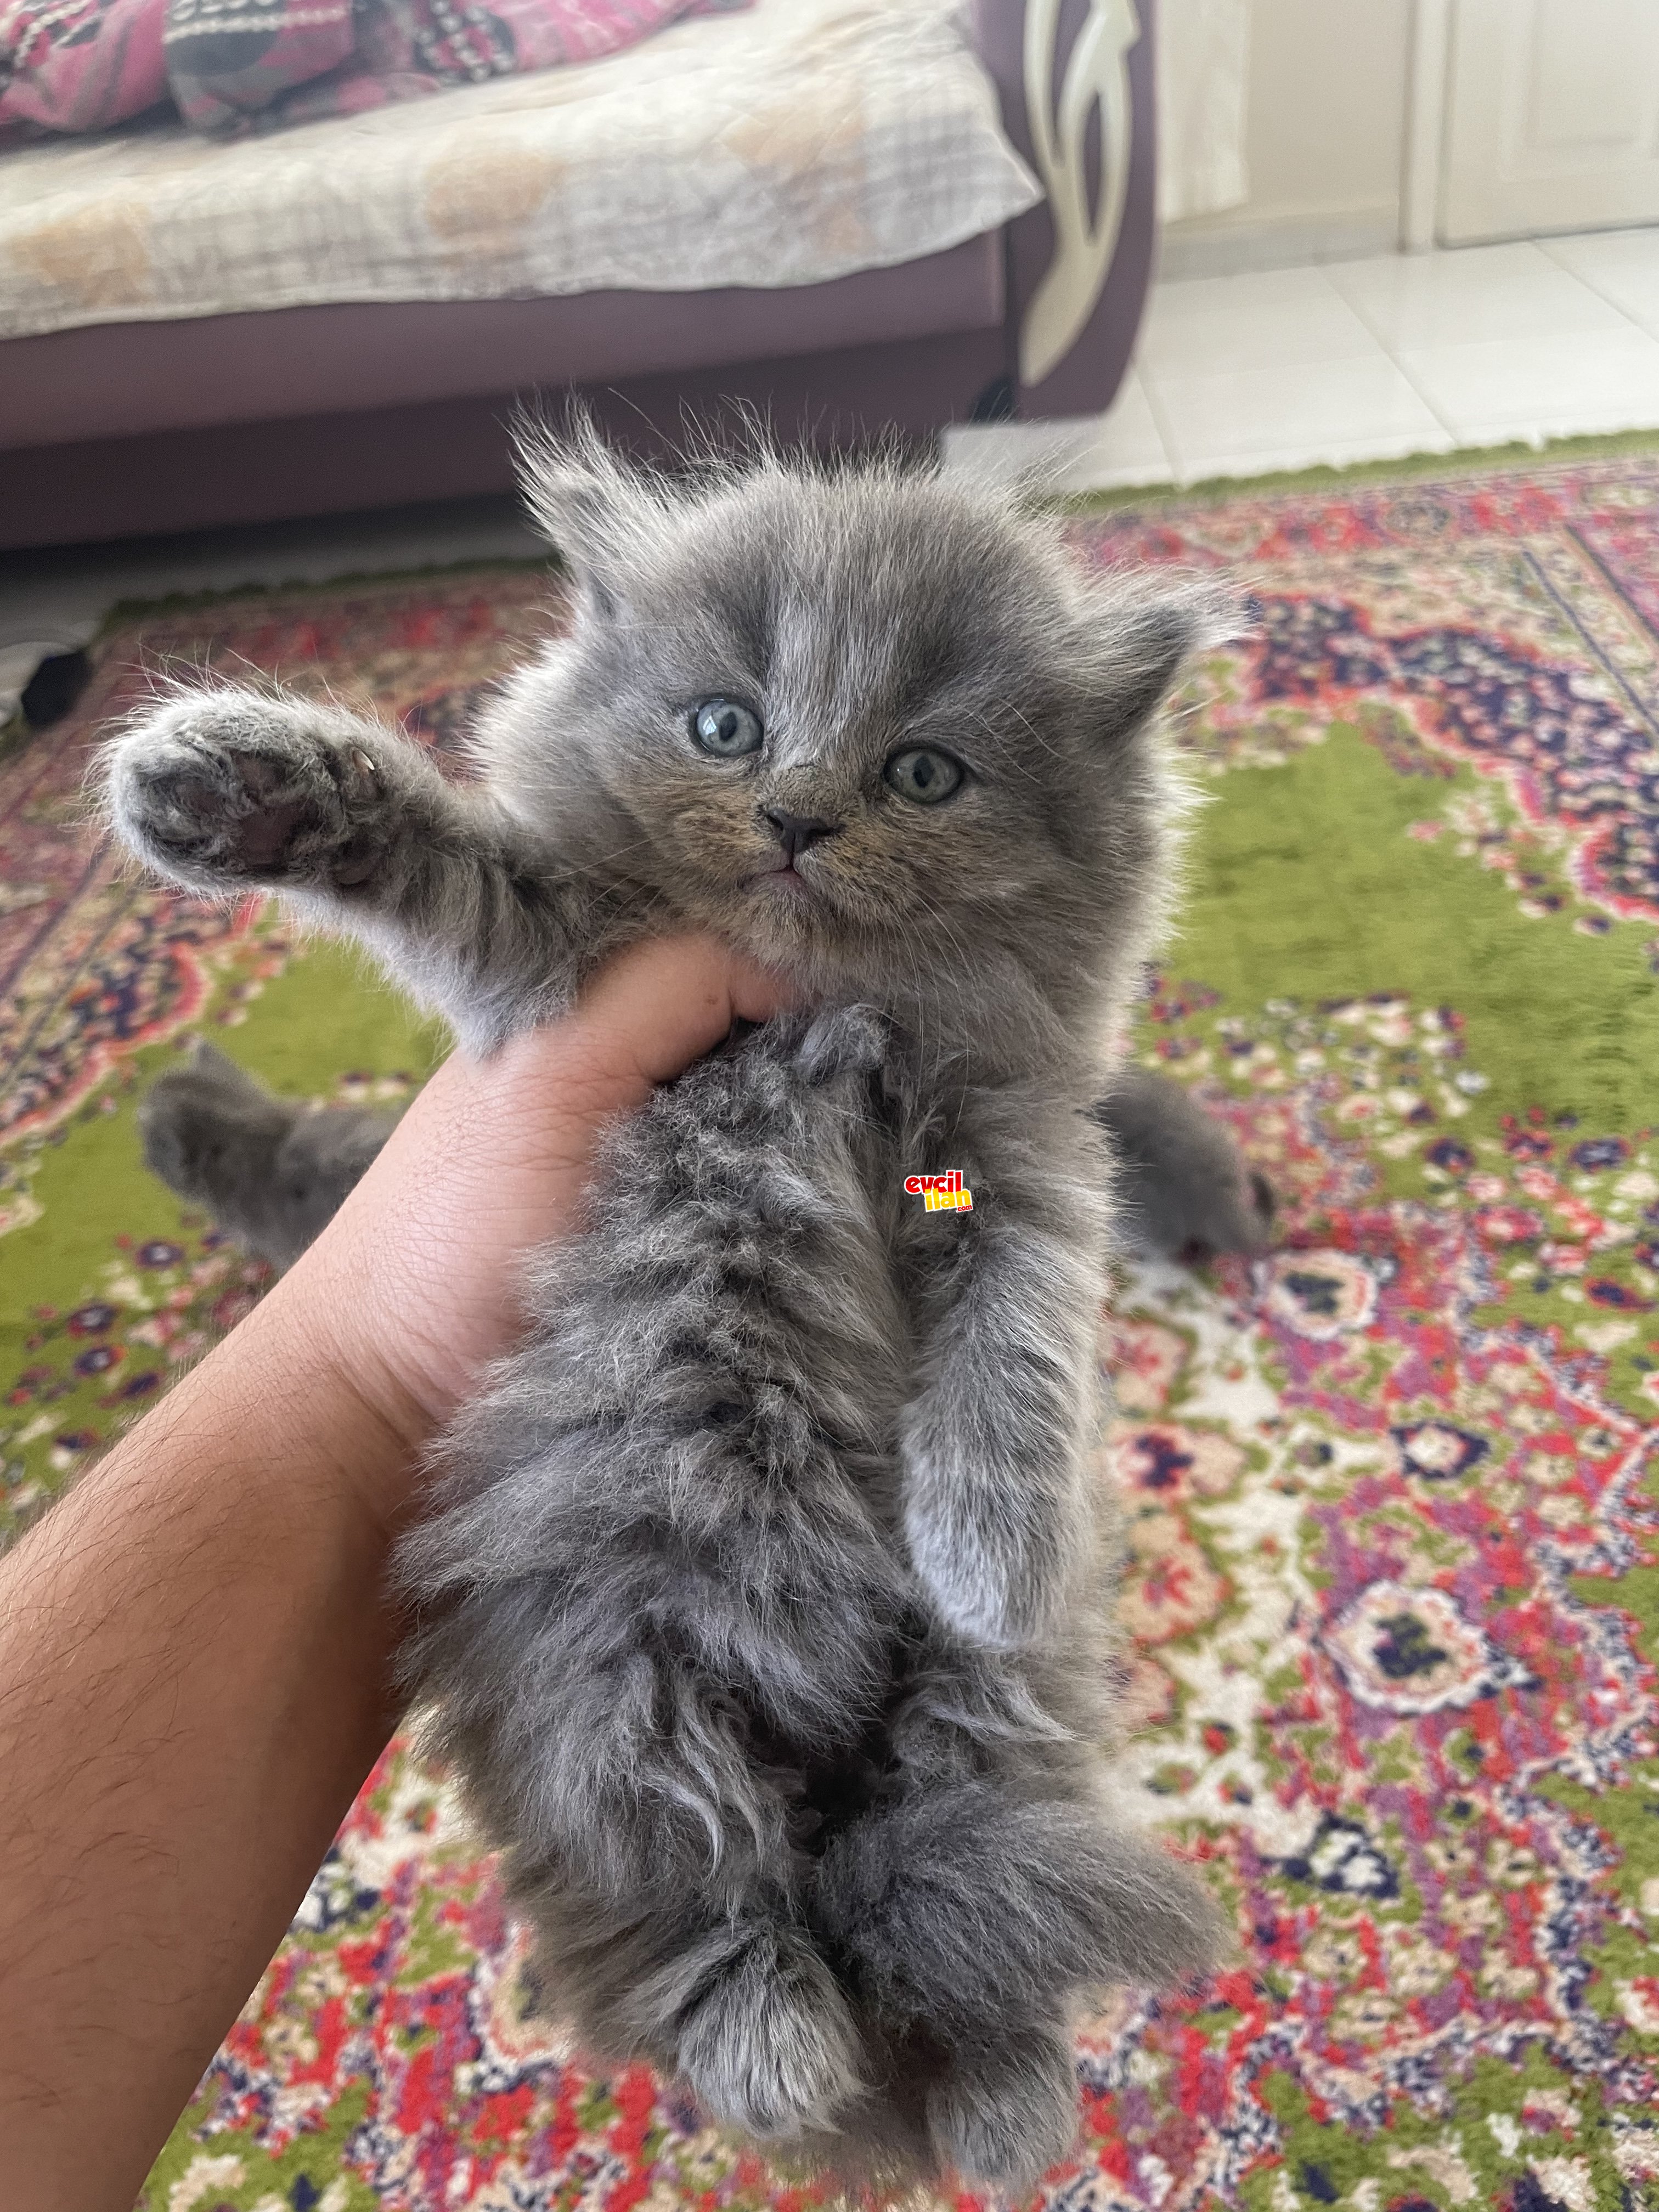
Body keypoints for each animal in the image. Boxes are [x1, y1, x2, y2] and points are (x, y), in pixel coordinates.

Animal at [110, 431, 1265, 2194]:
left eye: (924, 774)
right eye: (726, 726)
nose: (794, 816)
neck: (818, 1017)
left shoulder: (1025, 1151)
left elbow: (1020, 1356)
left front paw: (991, 1543)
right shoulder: (562, 967)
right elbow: (445, 855)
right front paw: (225, 787)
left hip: (980, 1717)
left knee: (951, 1879)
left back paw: (993, 2101)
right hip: (609, 1675)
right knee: (693, 1906)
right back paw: (780, 2039)